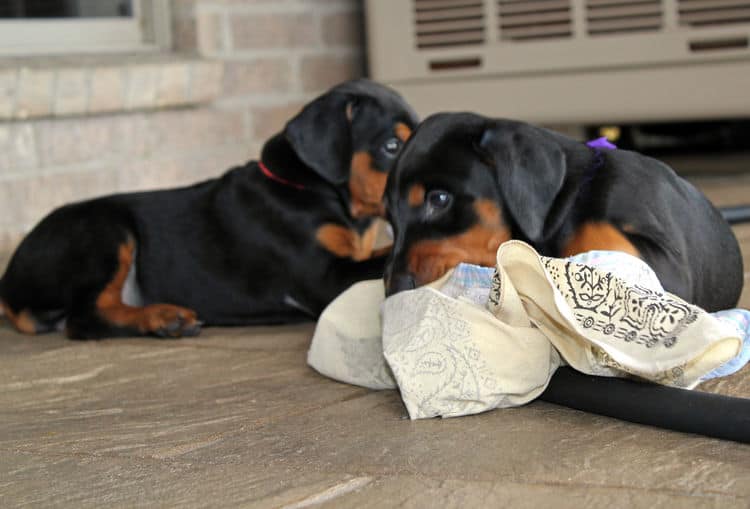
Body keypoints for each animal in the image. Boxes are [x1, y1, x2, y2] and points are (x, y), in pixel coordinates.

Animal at [0, 78, 420, 338]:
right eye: (391, 146)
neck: (314, 189)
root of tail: (9, 282)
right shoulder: (325, 277)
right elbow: (379, 259)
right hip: (104, 229)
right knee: (85, 318)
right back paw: (164, 317)